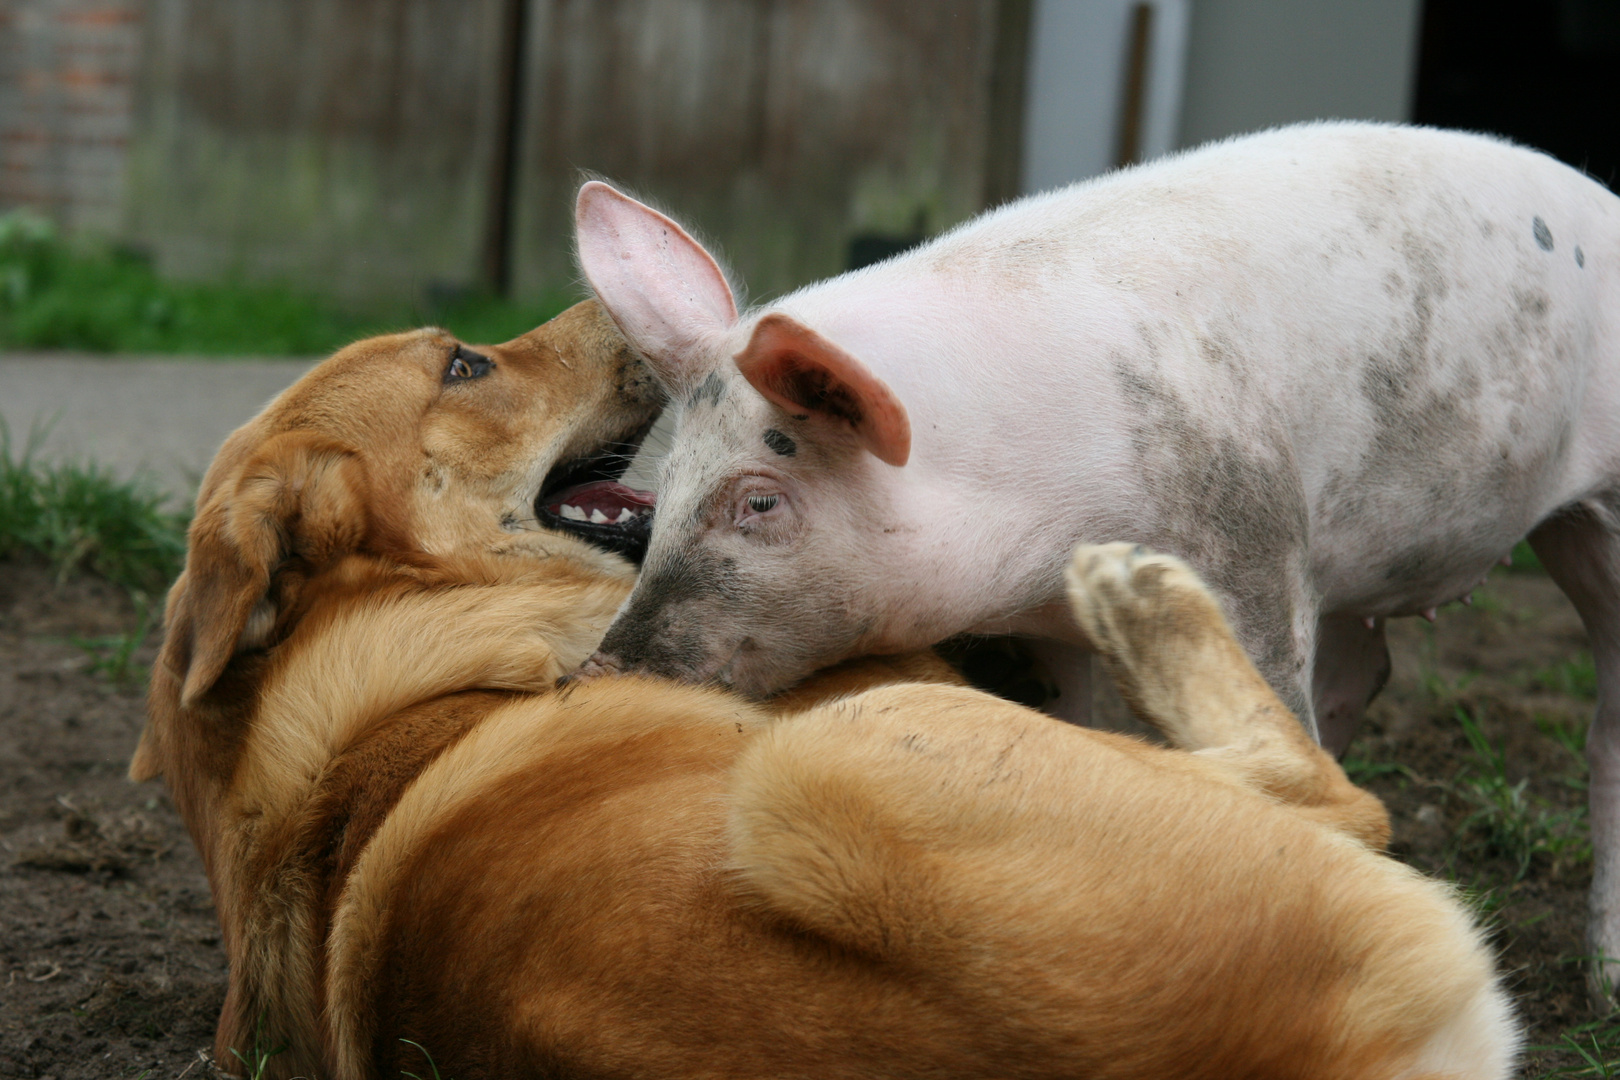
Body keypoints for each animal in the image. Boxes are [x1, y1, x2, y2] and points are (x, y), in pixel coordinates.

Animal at [573, 127, 1620, 990]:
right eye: (663, 491)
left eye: (759, 500)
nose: (602, 672)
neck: (1030, 526)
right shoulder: (1037, 628)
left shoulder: (1250, 535)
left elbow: (1268, 697)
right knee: (1370, 668)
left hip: (1598, 514)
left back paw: (1600, 982)